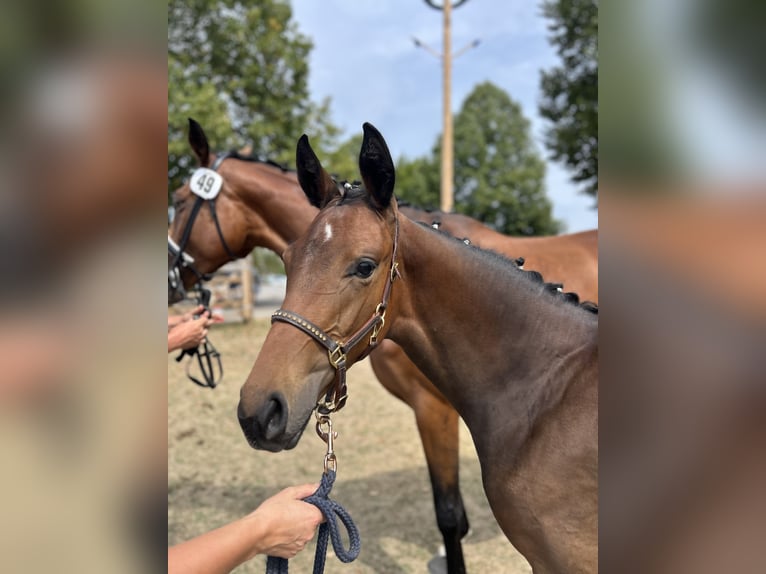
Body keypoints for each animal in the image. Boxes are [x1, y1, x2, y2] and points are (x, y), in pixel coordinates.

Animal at [168, 119, 598, 573]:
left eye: (364, 266)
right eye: (287, 260)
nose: (260, 410)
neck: (547, 386)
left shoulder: (434, 407)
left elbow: (450, 517)